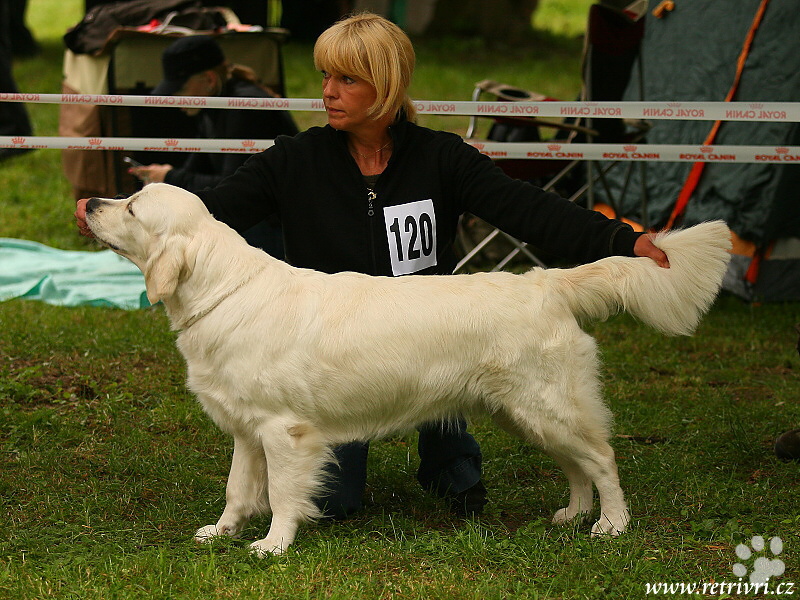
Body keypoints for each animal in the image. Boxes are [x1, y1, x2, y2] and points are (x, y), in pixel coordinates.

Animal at [83, 183, 731, 555]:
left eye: (132, 206)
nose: (88, 202)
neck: (224, 290)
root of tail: (544, 281)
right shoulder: (246, 428)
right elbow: (238, 488)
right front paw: (222, 531)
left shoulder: (285, 431)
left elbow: (285, 494)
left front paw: (273, 545)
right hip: (525, 414)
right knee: (577, 467)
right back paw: (572, 515)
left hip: (549, 405)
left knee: (602, 459)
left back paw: (612, 526)